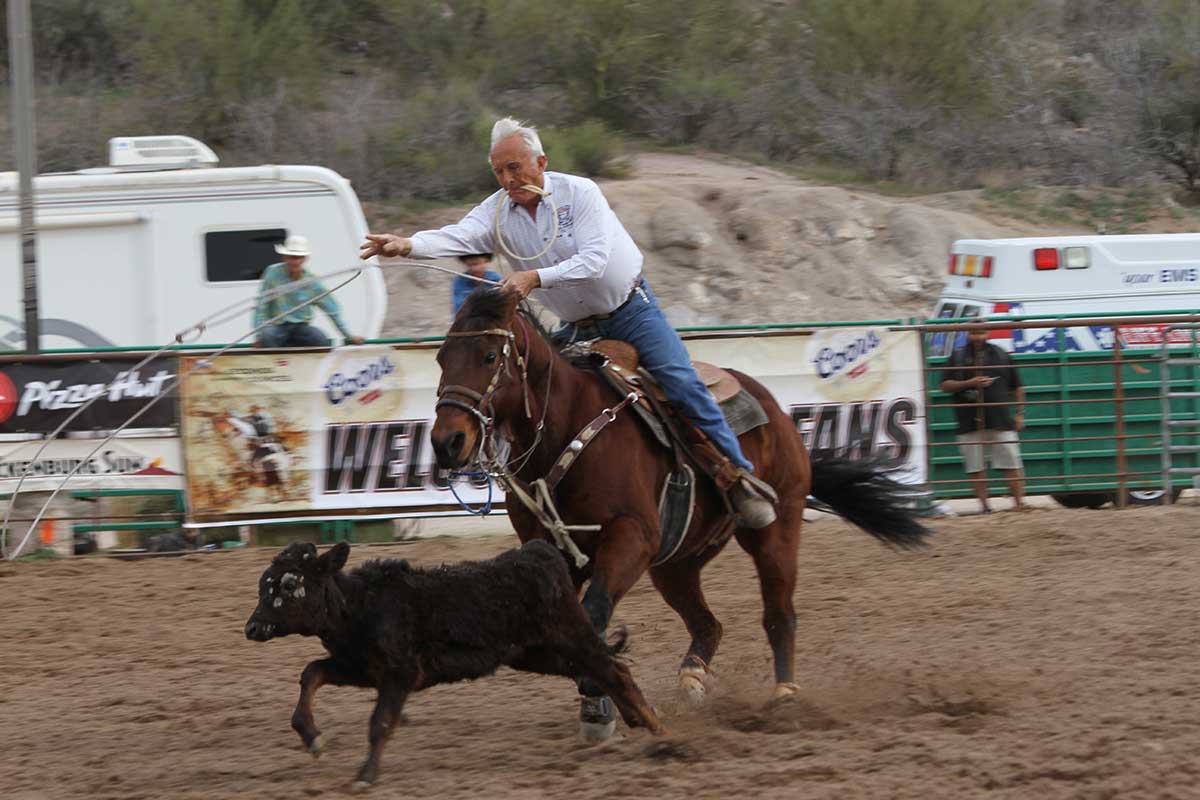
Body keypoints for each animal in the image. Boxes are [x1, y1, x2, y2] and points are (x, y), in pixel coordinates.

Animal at [432, 287, 926, 738]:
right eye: (440, 357)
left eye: (488, 355)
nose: (446, 441)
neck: (566, 427)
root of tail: (777, 412)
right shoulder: (554, 554)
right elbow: (577, 624)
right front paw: (600, 705)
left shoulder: (631, 535)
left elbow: (594, 610)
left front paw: (599, 697)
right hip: (675, 562)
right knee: (709, 624)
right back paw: (692, 681)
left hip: (774, 530)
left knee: (779, 611)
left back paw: (785, 696)